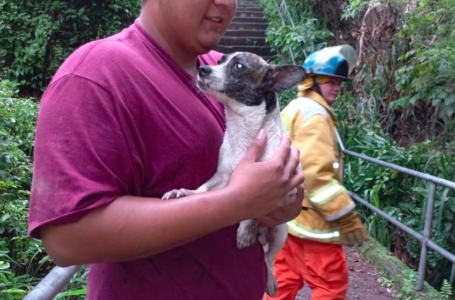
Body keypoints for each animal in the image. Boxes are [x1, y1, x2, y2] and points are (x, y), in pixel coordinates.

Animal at [162, 51, 308, 296]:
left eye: (238, 66)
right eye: (219, 61)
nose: (203, 69)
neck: (243, 130)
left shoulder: (276, 187)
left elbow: (254, 209)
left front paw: (246, 230)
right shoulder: (221, 178)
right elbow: (203, 190)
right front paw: (185, 192)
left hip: (281, 232)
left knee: (268, 259)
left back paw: (270, 280)